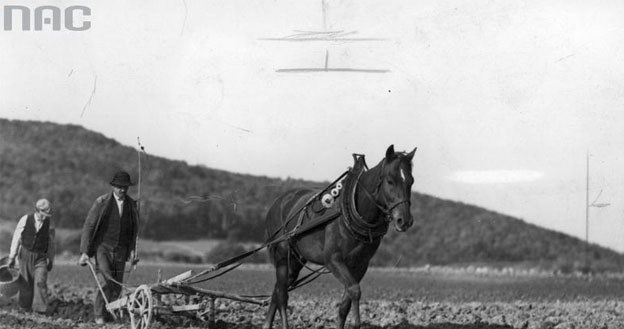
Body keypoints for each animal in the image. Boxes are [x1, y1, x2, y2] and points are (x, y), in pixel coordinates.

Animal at [260, 145, 416, 326]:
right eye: (390, 180)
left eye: (411, 181)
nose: (404, 220)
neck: (352, 211)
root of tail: (278, 202)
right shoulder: (333, 260)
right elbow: (355, 290)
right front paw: (356, 323)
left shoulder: (360, 264)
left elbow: (344, 304)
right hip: (282, 255)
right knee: (282, 295)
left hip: (294, 261)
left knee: (277, 290)